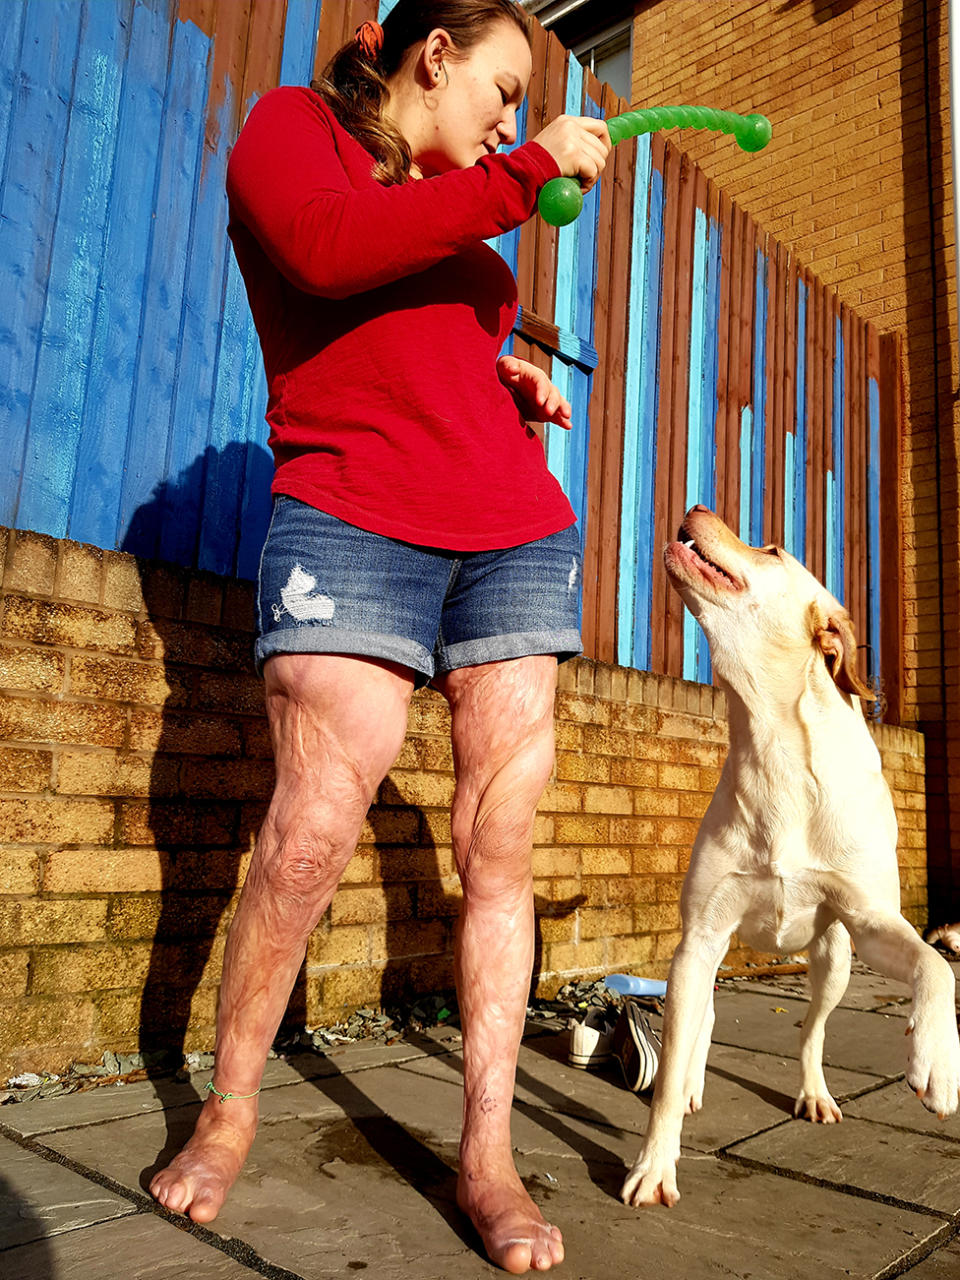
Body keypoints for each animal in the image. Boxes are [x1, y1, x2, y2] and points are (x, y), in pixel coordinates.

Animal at [624, 504, 960, 1203]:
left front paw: (937, 1063)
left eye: (773, 550)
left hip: (834, 960)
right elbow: (669, 1073)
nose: (695, 506)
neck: (772, 739)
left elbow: (935, 967)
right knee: (699, 1029)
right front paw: (654, 1166)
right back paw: (692, 1080)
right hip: (705, 959)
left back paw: (815, 1095)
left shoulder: (874, 921)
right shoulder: (700, 937)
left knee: (814, 1029)